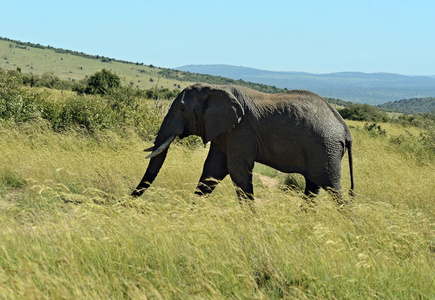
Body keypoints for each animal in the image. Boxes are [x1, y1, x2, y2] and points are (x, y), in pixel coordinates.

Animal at [132, 82, 354, 204]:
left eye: (182, 110)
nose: (127, 203)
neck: (215, 89)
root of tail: (345, 128)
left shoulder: (241, 131)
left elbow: (237, 171)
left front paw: (253, 224)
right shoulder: (224, 132)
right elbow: (212, 171)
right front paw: (190, 214)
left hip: (325, 148)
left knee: (333, 188)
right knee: (313, 187)